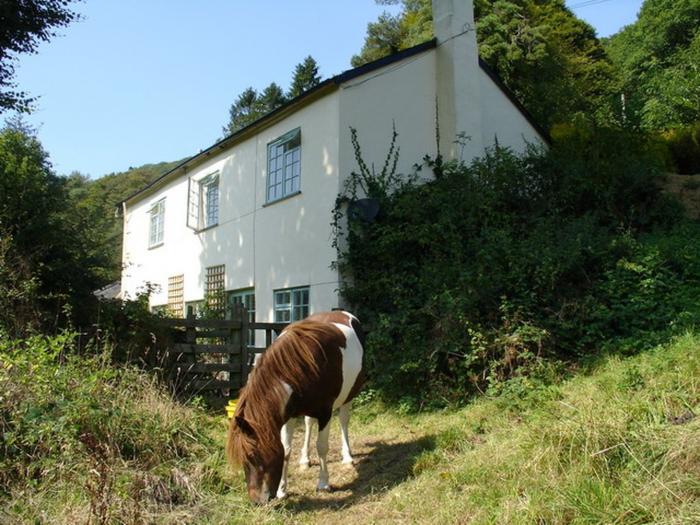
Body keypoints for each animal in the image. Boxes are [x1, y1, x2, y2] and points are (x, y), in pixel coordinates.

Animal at [226, 312, 366, 504]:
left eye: (252, 456)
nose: (256, 501)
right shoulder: (289, 414)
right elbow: (286, 450)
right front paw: (282, 490)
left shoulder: (325, 413)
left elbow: (322, 446)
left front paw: (323, 483)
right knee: (308, 424)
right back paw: (305, 460)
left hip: (348, 396)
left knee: (344, 421)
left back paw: (347, 456)